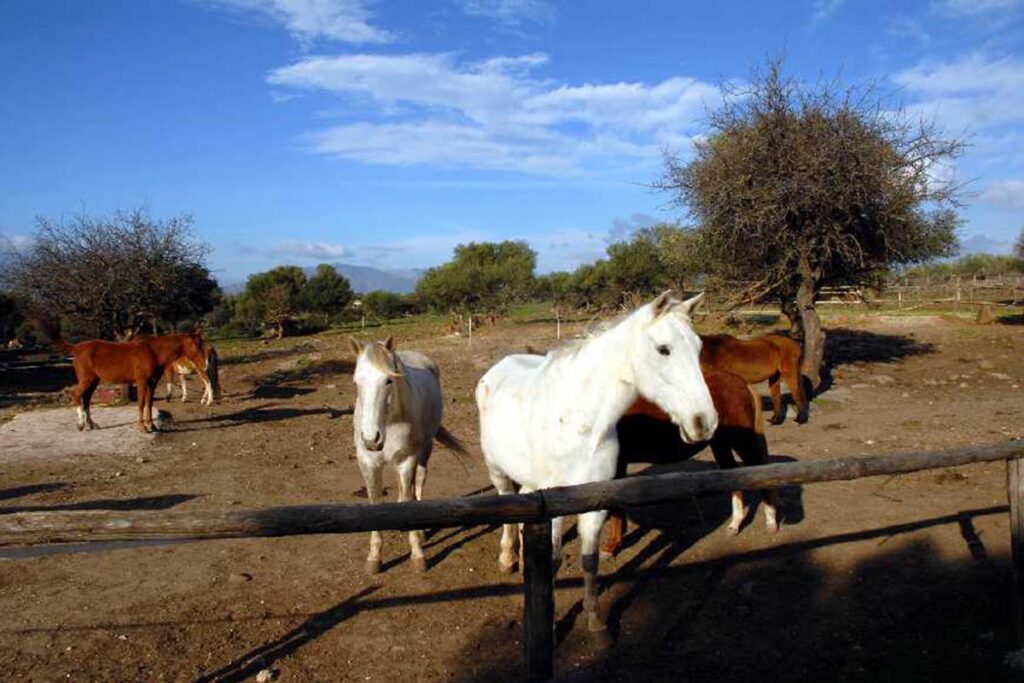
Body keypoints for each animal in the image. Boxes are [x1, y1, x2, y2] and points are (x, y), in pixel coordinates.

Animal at [57, 332, 210, 432]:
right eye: (197, 346)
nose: (205, 364)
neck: (153, 352)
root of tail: (76, 348)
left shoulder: (152, 383)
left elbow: (149, 403)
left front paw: (151, 425)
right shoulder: (141, 382)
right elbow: (141, 403)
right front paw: (142, 426)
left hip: (94, 381)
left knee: (87, 400)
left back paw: (92, 424)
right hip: (87, 380)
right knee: (76, 395)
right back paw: (80, 424)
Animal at [349, 335, 466, 574]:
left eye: (388, 381)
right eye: (356, 383)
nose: (371, 439)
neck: (390, 422)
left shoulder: (407, 460)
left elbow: (410, 496)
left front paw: (417, 554)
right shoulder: (368, 463)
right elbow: (375, 502)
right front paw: (374, 558)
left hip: (423, 451)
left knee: (418, 484)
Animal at [476, 291, 717, 638]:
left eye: (698, 348)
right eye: (663, 349)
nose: (704, 422)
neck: (581, 422)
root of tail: (497, 368)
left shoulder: (593, 504)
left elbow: (589, 559)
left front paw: (595, 621)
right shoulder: (551, 504)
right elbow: (553, 560)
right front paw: (550, 624)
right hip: (497, 470)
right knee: (506, 503)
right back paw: (508, 558)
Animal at [603, 369, 779, 558]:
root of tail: (741, 382)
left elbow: (614, 507)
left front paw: (611, 546)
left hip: (743, 442)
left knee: (764, 472)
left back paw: (771, 522)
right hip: (721, 445)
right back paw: (734, 525)